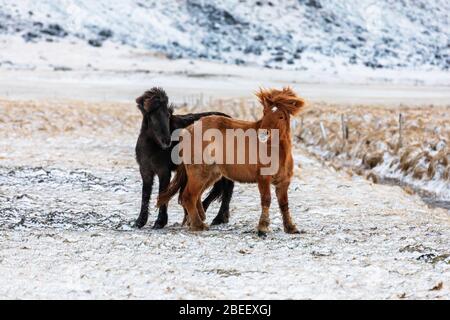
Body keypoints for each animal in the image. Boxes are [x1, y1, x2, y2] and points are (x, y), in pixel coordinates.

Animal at [134, 86, 234, 229]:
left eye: (168, 115)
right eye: (152, 116)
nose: (167, 141)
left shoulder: (164, 171)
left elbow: (163, 192)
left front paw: (160, 222)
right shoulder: (146, 171)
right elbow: (145, 195)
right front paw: (140, 221)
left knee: (227, 189)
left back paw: (218, 218)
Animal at [158, 87, 306, 235]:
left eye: (281, 116)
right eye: (265, 113)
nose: (263, 135)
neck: (275, 151)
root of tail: (189, 129)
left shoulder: (283, 182)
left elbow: (284, 204)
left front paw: (291, 228)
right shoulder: (263, 179)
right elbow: (266, 200)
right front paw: (263, 227)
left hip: (211, 175)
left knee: (195, 196)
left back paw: (197, 221)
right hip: (199, 174)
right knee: (188, 196)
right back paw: (198, 225)